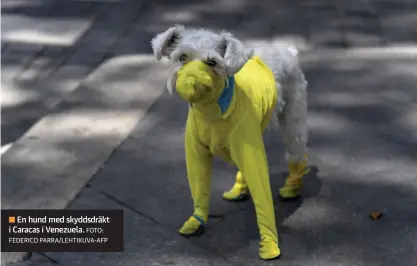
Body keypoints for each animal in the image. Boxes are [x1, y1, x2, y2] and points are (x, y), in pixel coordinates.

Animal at [150, 25, 308, 260]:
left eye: (212, 62)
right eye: (182, 57)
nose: (190, 81)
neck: (213, 112)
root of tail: (287, 48)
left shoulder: (251, 148)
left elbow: (263, 202)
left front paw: (270, 245)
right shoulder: (197, 154)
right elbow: (199, 190)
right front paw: (195, 222)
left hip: (292, 121)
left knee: (296, 151)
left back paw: (291, 187)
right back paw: (239, 189)